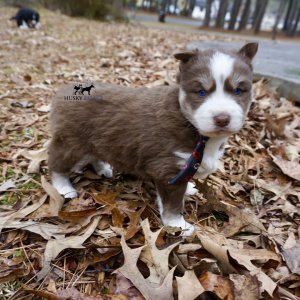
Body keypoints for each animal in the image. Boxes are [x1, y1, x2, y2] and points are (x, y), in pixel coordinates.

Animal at [48, 42, 258, 237]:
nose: (222, 119)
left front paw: (188, 189)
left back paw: (103, 168)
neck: (194, 128)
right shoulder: (167, 168)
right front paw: (179, 225)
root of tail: (63, 91)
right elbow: (173, 204)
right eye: (201, 92)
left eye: (238, 91)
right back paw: (64, 187)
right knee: (57, 163)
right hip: (70, 143)